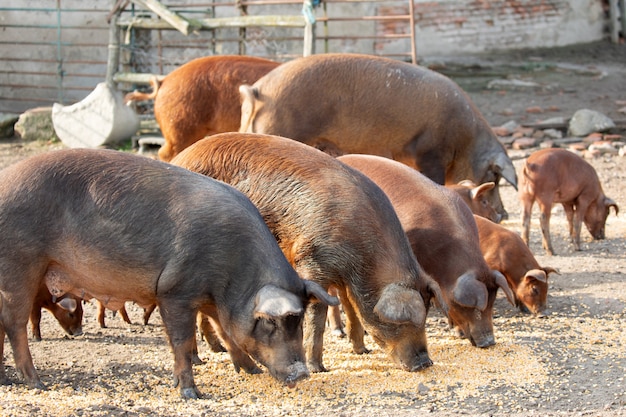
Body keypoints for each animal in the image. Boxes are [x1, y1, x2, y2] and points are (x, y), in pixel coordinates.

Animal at [1, 148, 336, 398]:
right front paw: (190, 393)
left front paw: (249, 371)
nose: (301, 373)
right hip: (20, 263)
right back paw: (37, 383)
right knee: (14, 323)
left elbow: (227, 332)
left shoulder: (212, 300)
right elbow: (182, 340)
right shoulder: (175, 291)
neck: (232, 273)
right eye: (271, 322)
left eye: (298, 321)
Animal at [168, 134, 446, 374]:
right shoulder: (313, 263)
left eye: (425, 318)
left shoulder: (345, 278)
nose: (425, 362)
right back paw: (199, 359)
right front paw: (318, 368)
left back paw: (214, 352)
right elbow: (317, 317)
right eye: (401, 322)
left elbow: (352, 308)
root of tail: (179, 158)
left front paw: (361, 350)